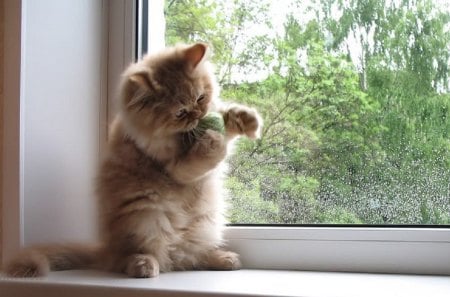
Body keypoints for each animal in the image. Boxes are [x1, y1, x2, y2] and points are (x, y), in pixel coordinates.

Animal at [5, 42, 262, 276]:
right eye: (180, 113)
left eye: (200, 98)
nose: (198, 116)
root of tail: (105, 250)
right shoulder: (175, 168)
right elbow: (203, 156)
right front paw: (212, 141)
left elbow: (227, 121)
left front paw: (246, 119)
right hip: (144, 221)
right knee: (137, 259)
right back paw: (144, 265)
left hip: (204, 227)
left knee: (188, 258)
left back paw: (223, 258)